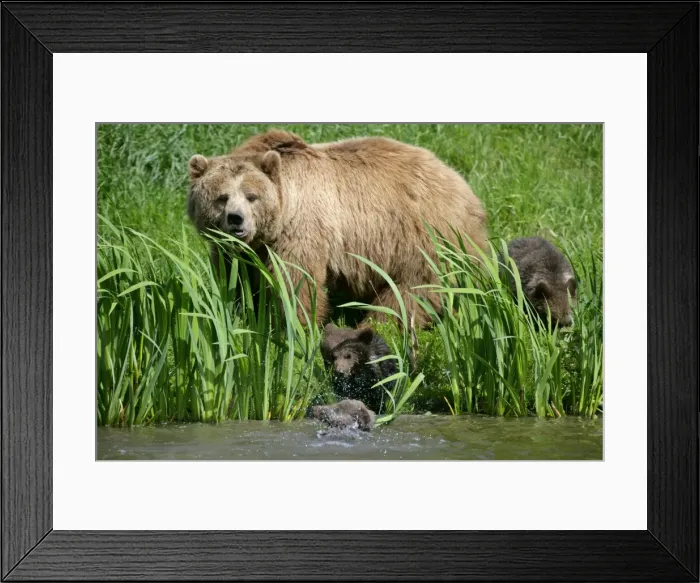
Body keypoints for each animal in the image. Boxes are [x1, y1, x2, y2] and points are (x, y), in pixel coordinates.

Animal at [186, 129, 488, 328]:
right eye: (222, 197)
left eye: (252, 196)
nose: (236, 219)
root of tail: (461, 182)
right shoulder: (239, 252)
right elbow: (236, 280)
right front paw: (235, 314)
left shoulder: (302, 228)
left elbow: (297, 281)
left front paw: (295, 327)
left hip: (422, 236)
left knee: (412, 291)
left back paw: (379, 326)